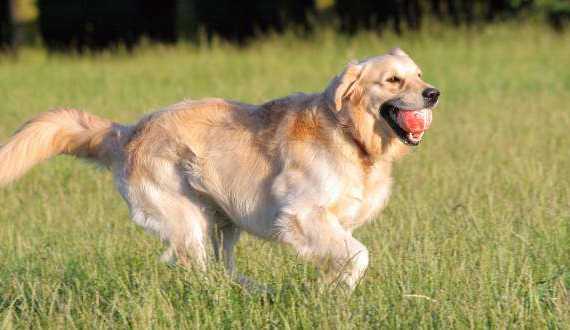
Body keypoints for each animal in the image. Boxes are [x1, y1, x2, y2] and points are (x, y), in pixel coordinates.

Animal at [0, 48, 440, 288]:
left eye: (419, 75)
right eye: (393, 80)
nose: (434, 93)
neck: (351, 136)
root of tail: (129, 131)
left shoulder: (332, 224)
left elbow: (343, 257)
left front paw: (328, 292)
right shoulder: (301, 216)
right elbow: (358, 255)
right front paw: (336, 293)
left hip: (223, 222)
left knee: (222, 271)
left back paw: (259, 292)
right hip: (187, 219)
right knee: (202, 273)